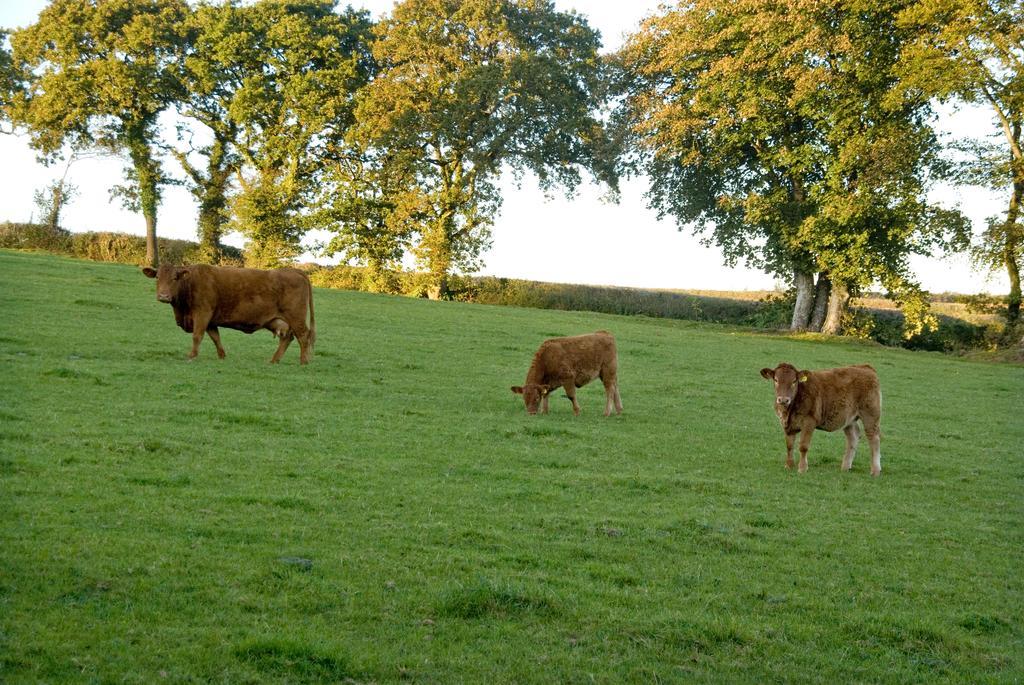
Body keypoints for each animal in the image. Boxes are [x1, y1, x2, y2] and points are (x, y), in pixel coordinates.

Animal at [142, 262, 313, 362]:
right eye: (157, 277)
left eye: (175, 278)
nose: (163, 296)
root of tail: (293, 270)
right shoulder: (210, 320)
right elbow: (215, 338)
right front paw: (222, 356)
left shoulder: (202, 313)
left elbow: (197, 336)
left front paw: (192, 356)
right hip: (279, 321)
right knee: (287, 338)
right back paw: (274, 360)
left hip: (296, 318)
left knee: (303, 337)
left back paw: (303, 362)